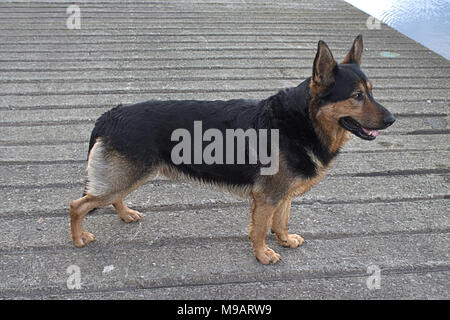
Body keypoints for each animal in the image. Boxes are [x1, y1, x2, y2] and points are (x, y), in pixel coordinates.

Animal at [69, 35, 394, 264]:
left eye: (371, 92)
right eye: (357, 96)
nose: (392, 120)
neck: (303, 120)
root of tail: (110, 115)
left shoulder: (282, 196)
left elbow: (281, 221)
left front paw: (285, 240)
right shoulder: (267, 198)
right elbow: (260, 229)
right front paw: (263, 255)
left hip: (129, 176)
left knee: (112, 198)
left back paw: (125, 215)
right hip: (125, 177)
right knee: (78, 205)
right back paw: (78, 238)